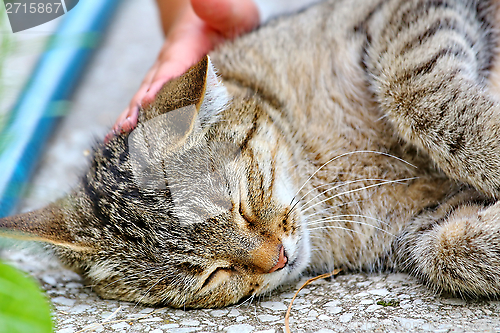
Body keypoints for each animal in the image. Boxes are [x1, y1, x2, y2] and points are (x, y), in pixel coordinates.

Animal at [0, 0, 500, 308]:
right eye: (210, 275)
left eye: (239, 203)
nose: (278, 257)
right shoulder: (423, 223)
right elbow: (453, 251)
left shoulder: (402, 19)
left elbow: (418, 98)